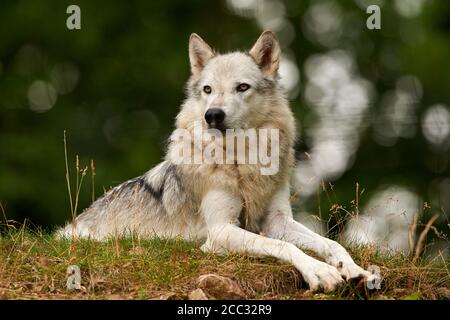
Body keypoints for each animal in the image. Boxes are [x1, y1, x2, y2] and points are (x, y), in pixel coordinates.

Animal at [59, 30, 376, 292]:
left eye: (242, 87)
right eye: (208, 90)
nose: (212, 115)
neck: (241, 161)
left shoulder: (277, 219)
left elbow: (330, 243)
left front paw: (354, 269)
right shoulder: (221, 231)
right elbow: (282, 246)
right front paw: (319, 272)